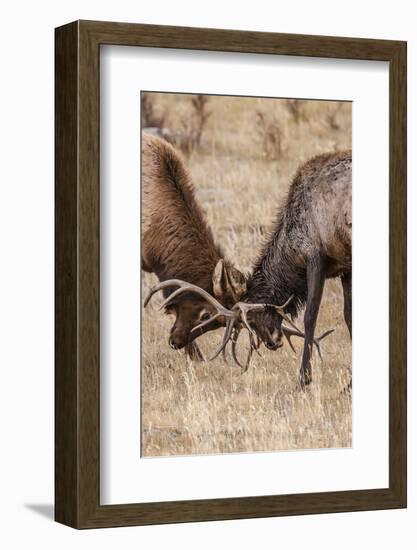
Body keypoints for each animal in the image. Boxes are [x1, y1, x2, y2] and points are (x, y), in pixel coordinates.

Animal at [151, 151, 350, 390]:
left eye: (252, 319)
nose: (274, 341)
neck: (290, 249)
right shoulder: (345, 266)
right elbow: (349, 316)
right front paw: (348, 385)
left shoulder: (315, 255)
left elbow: (310, 317)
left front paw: (303, 379)